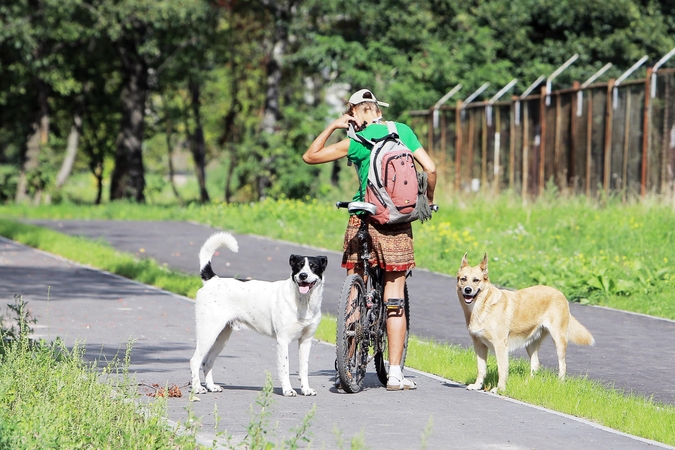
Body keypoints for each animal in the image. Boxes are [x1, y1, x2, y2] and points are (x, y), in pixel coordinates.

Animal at [189, 232, 328, 398]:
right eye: (298, 266)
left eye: (313, 267)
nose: (303, 275)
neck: (302, 302)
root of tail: (213, 280)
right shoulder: (283, 341)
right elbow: (285, 368)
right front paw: (288, 390)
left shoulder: (306, 341)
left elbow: (304, 369)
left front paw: (305, 389)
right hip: (208, 332)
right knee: (195, 361)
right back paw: (197, 388)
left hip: (221, 337)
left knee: (207, 361)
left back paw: (211, 386)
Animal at [456, 253, 596, 394]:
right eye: (463, 279)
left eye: (476, 280)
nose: (467, 290)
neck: (484, 307)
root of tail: (559, 293)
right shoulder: (479, 345)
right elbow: (481, 369)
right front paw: (477, 385)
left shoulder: (500, 345)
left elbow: (502, 370)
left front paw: (500, 388)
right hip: (530, 344)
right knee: (535, 364)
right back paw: (528, 384)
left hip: (559, 340)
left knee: (563, 365)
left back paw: (559, 384)